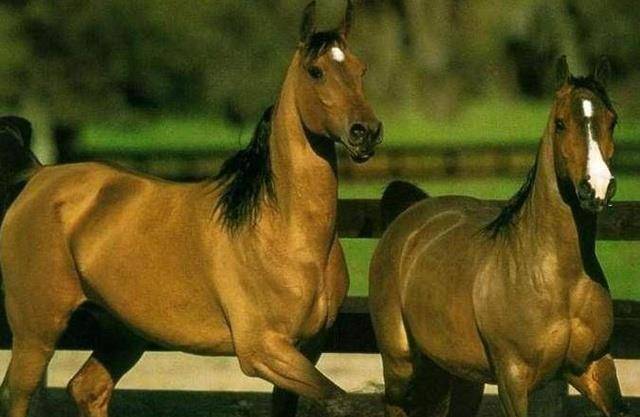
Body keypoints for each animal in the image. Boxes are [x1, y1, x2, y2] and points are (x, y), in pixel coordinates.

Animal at [0, 1, 382, 416]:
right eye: (316, 71)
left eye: (361, 69)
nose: (366, 132)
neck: (284, 233)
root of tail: (39, 177)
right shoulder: (263, 350)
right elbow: (337, 398)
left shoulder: (308, 348)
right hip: (36, 331)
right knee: (18, 394)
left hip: (124, 331)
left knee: (88, 388)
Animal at [369, 56, 630, 417]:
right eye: (561, 123)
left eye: (612, 121)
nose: (597, 187)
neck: (557, 279)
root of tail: (409, 215)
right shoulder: (513, 378)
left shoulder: (594, 365)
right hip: (400, 364)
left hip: (458, 375)